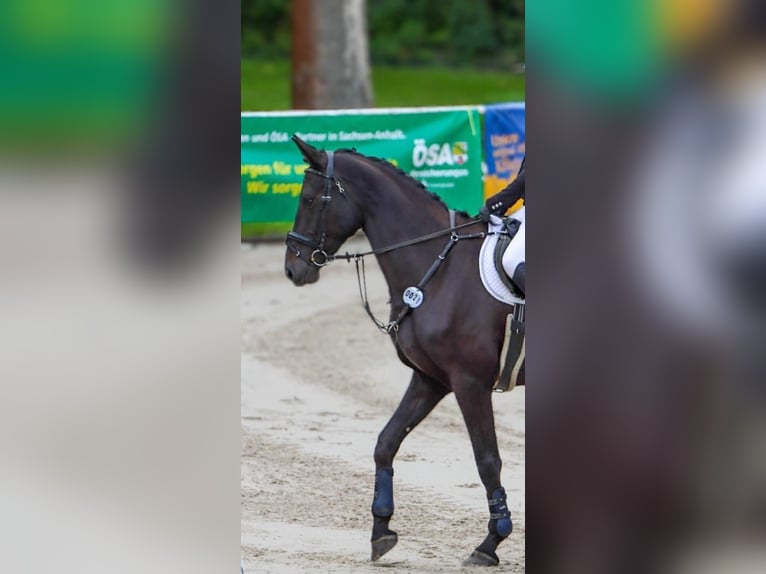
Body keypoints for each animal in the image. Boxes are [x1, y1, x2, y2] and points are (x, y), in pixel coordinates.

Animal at [283, 135, 523, 566]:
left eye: (309, 199)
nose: (292, 269)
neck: (440, 269)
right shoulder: (430, 379)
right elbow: (386, 442)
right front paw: (381, 528)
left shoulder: (470, 382)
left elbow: (487, 459)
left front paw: (491, 542)